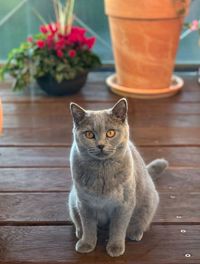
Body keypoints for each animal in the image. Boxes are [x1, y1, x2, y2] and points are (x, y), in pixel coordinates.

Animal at [68, 98, 168, 256]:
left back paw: (135, 233)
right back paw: (79, 232)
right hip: (72, 199)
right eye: (89, 134)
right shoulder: (84, 203)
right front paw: (86, 244)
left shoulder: (124, 204)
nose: (100, 145)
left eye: (110, 133)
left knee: (140, 222)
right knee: (78, 221)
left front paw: (115, 247)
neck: (102, 171)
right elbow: (88, 226)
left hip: (149, 200)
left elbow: (118, 228)